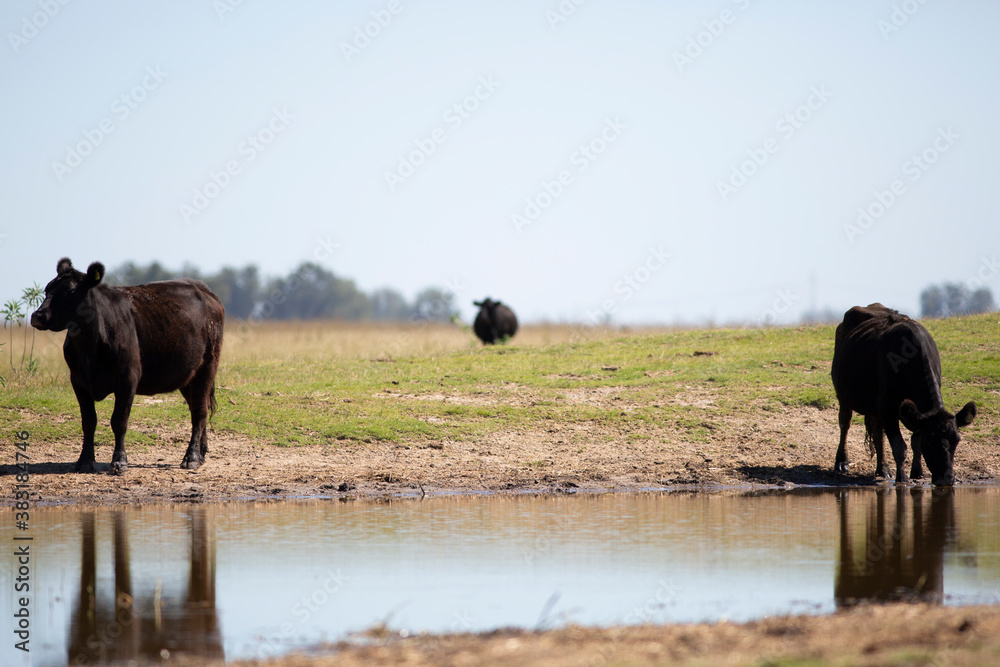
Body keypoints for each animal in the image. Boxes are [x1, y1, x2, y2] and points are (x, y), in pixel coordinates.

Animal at [30, 258, 225, 472]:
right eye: (47, 289)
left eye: (70, 291)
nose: (38, 315)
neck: (90, 349)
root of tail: (203, 288)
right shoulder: (78, 381)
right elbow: (88, 421)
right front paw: (85, 460)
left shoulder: (128, 379)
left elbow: (119, 421)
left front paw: (119, 461)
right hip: (187, 375)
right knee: (198, 406)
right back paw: (202, 453)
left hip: (207, 366)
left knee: (199, 411)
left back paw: (192, 457)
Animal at [828, 304, 976, 486]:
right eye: (930, 441)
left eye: (956, 440)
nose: (946, 479)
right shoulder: (888, 408)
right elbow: (900, 446)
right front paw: (902, 478)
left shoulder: (915, 413)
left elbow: (914, 441)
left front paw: (917, 472)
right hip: (844, 397)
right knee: (845, 423)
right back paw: (842, 461)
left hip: (874, 407)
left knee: (877, 432)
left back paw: (883, 468)